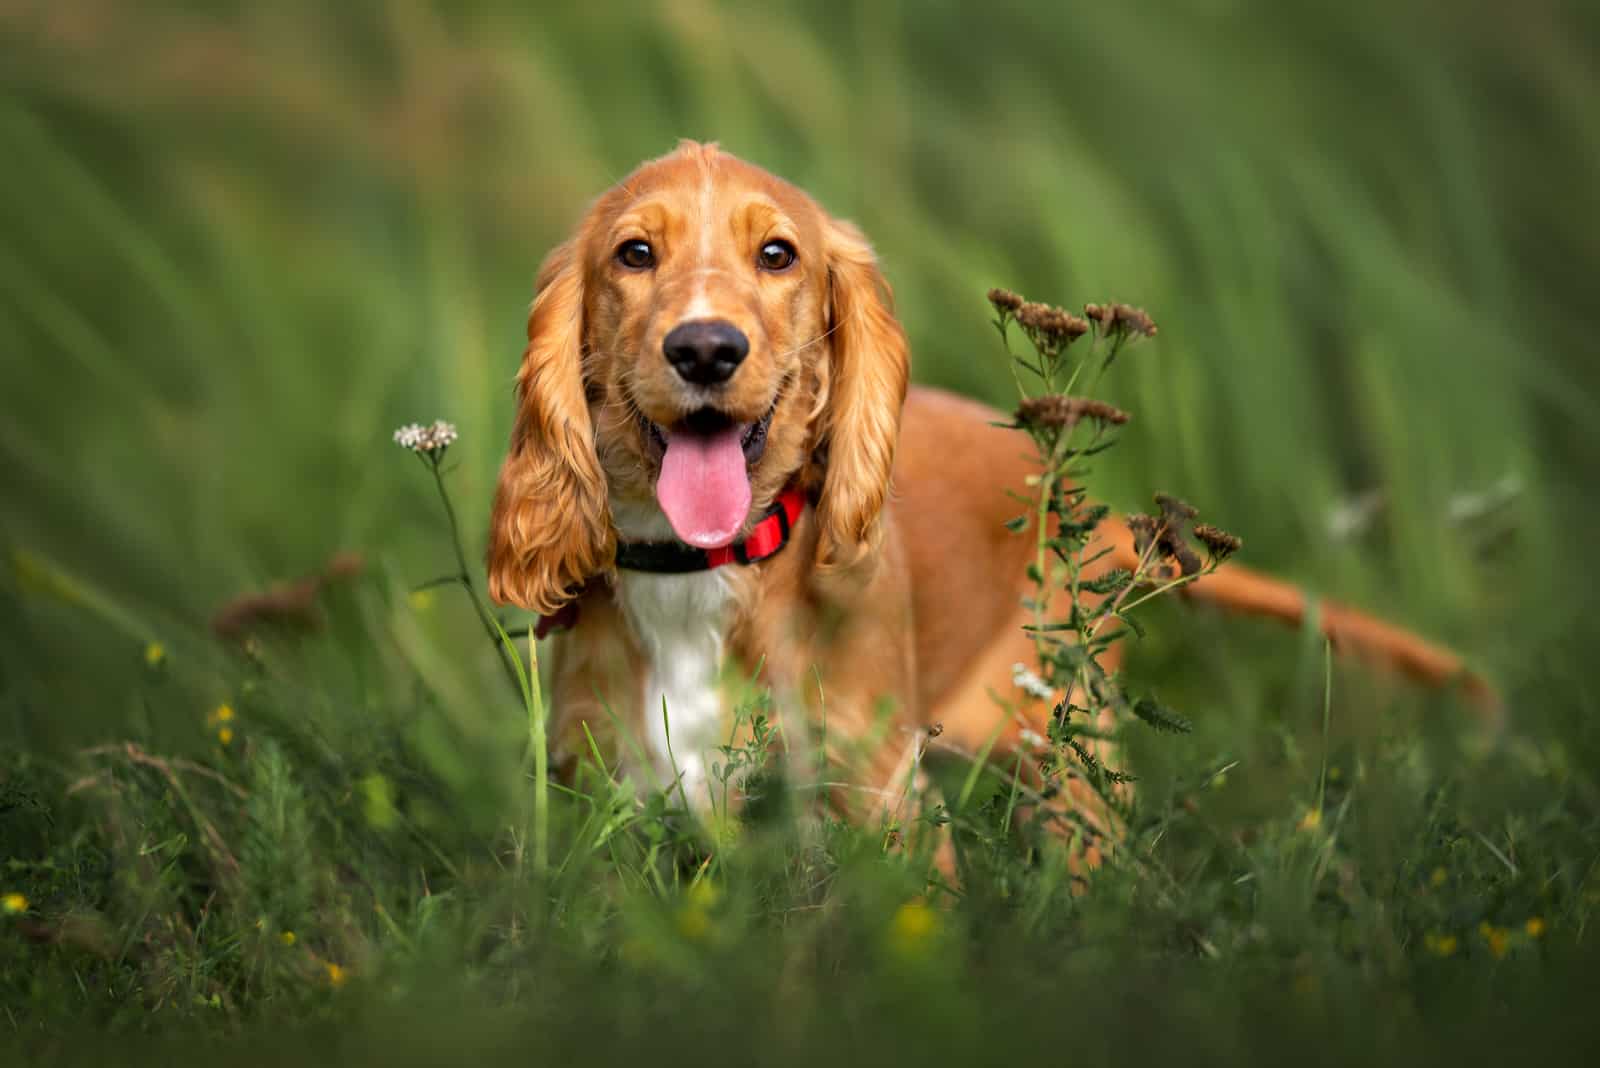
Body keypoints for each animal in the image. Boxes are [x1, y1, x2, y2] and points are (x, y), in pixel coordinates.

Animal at [480, 141, 1491, 837]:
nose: (703, 349)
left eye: (777, 254)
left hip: (1070, 759)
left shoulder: (878, 808)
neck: (700, 575)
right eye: (634, 254)